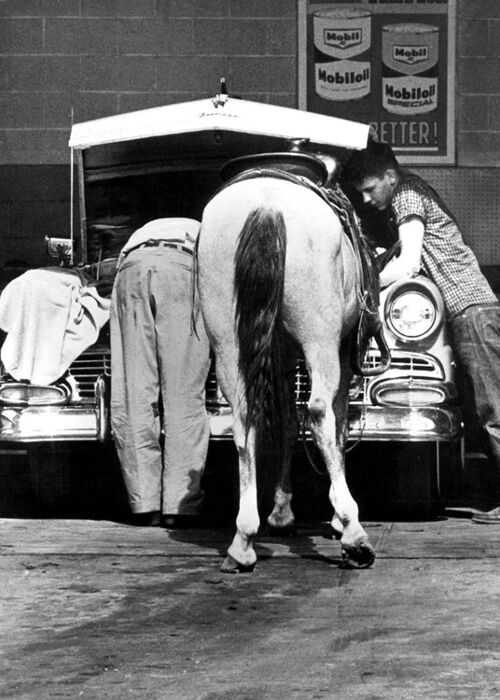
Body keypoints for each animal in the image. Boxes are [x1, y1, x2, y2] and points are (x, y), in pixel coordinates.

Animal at [198, 171, 376, 576]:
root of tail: (267, 205)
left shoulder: (277, 359)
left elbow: (284, 424)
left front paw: (281, 513)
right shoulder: (340, 353)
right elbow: (335, 427)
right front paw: (336, 520)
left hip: (229, 343)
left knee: (245, 420)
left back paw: (243, 541)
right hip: (319, 340)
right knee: (320, 414)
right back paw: (354, 533)